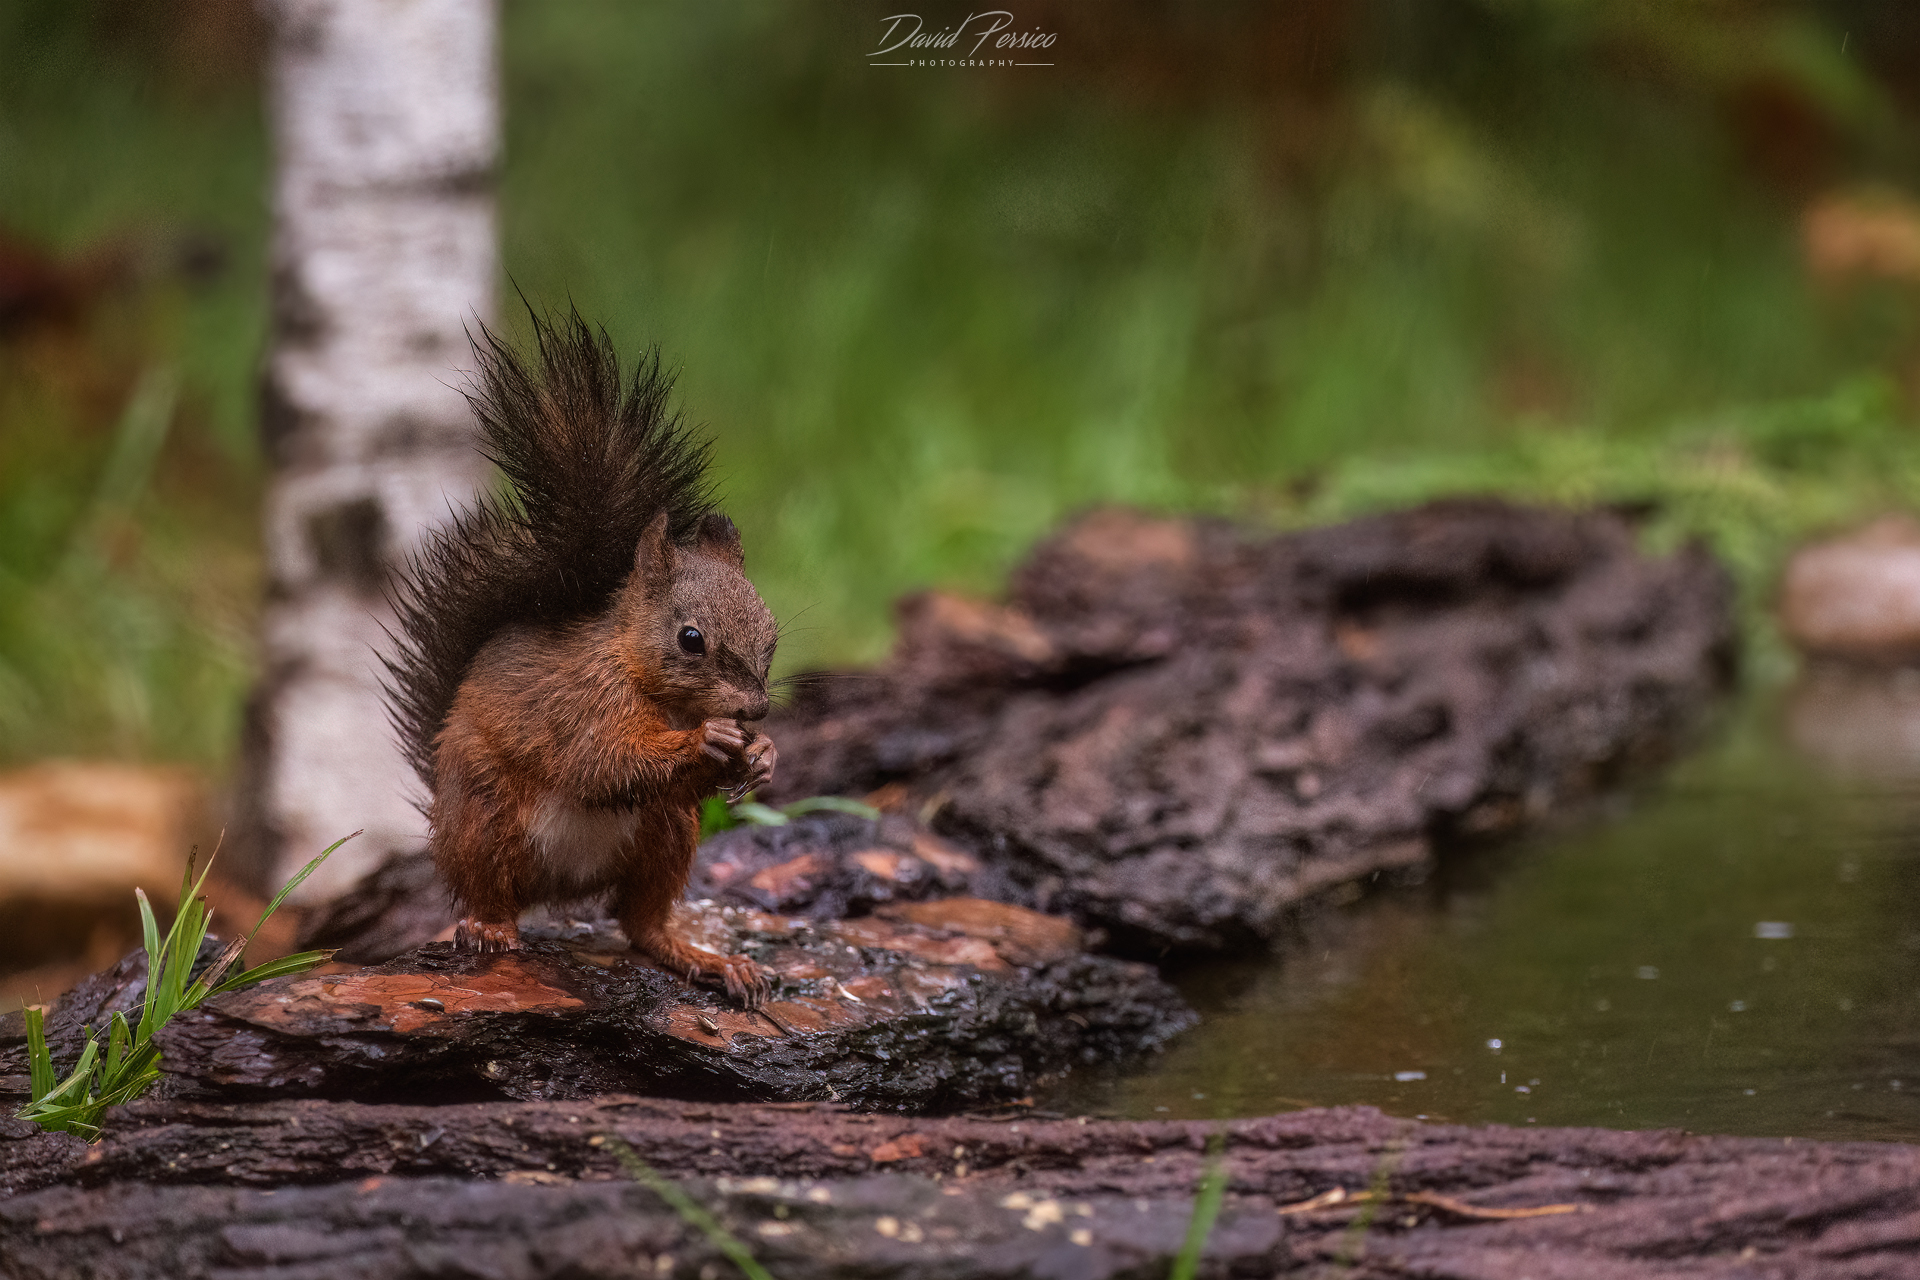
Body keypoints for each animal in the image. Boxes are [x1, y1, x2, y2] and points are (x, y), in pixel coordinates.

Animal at [383, 308, 778, 1005]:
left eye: (772, 634)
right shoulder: (582, 702)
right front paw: (708, 740)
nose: (756, 708)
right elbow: (605, 761)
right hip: (486, 816)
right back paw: (489, 927)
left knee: (640, 922)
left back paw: (702, 957)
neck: (652, 687)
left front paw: (762, 756)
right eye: (691, 639)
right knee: (493, 894)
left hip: (667, 831)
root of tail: (562, 890)